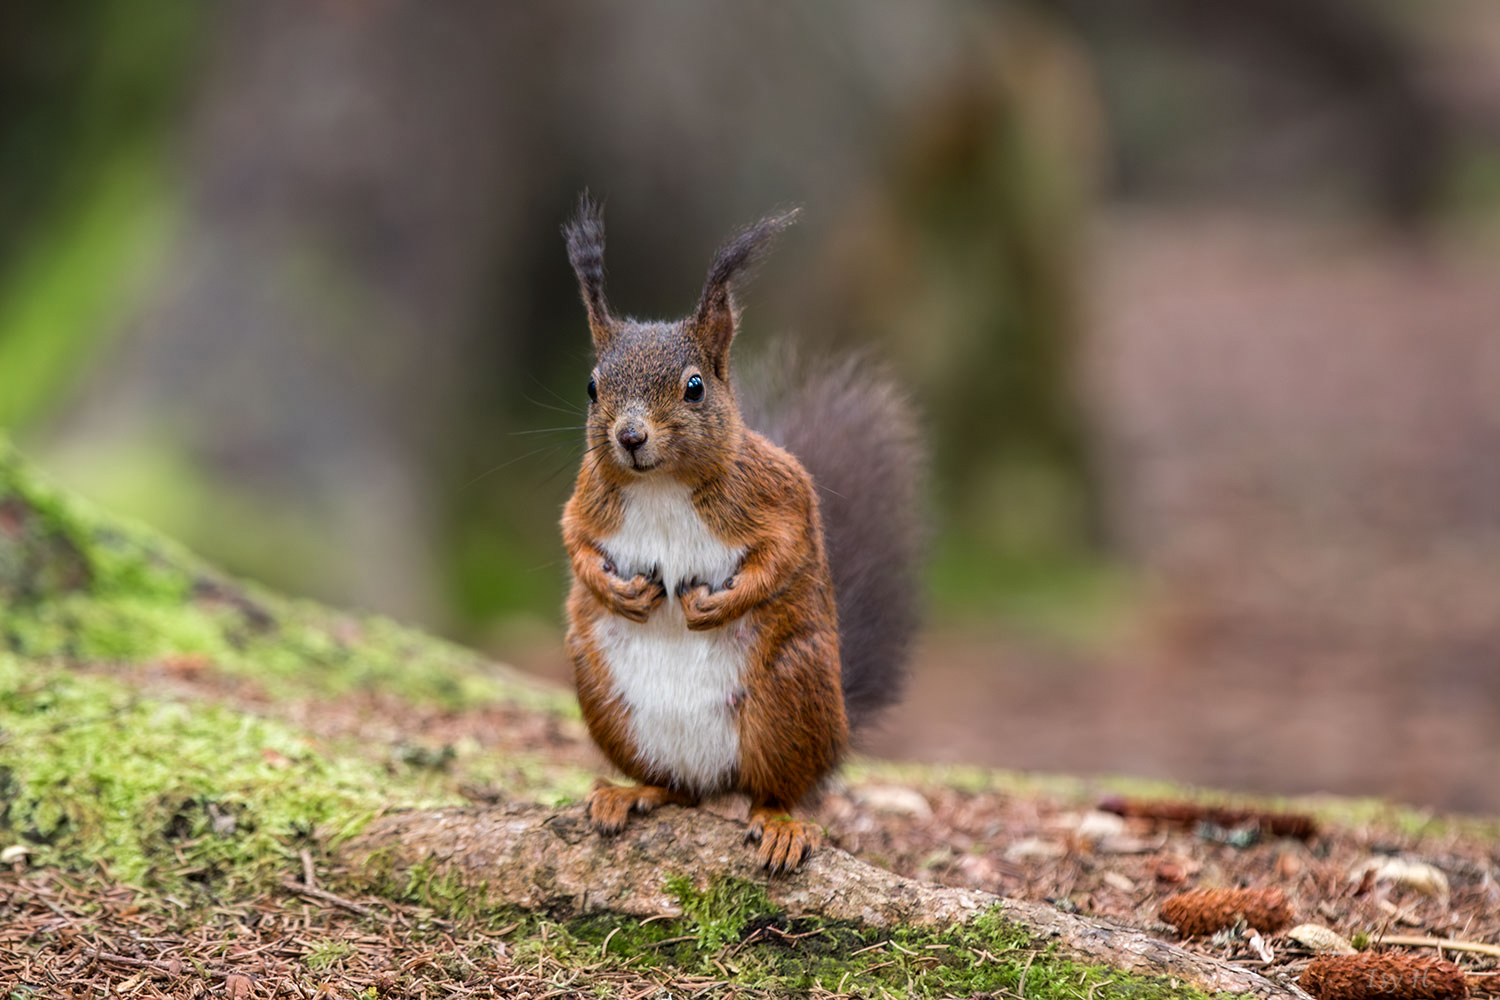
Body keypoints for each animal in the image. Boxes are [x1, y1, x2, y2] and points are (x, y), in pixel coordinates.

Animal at [558, 194, 918, 869]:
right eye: (592, 386)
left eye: (695, 387)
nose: (630, 436)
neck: (661, 486)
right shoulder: (586, 502)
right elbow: (576, 544)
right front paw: (618, 591)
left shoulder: (781, 496)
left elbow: (782, 553)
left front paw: (717, 605)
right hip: (605, 700)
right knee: (675, 788)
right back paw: (630, 792)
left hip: (786, 695)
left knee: (774, 789)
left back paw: (779, 825)